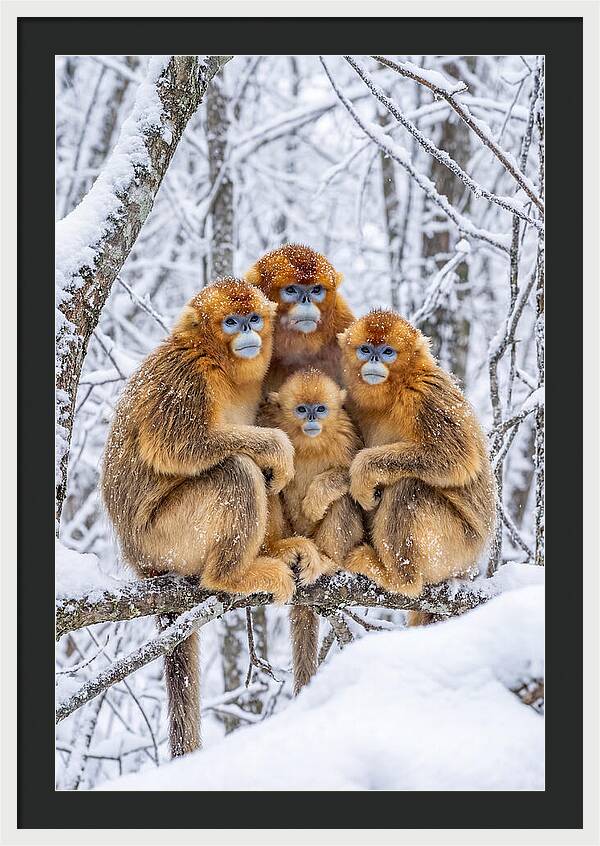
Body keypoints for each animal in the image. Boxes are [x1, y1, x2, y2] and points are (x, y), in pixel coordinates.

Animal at [101, 278, 319, 758]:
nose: (249, 332)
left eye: (253, 318)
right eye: (232, 322)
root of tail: (139, 560)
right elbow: (179, 445)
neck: (219, 362)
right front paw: (276, 445)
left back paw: (277, 550)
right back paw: (232, 575)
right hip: (165, 538)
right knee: (236, 469)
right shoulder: (186, 376)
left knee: (259, 476)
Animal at [262, 369, 364, 693]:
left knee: (344, 499)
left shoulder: (347, 435)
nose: (311, 419)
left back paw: (327, 561)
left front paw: (317, 498)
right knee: (268, 484)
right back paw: (279, 550)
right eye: (300, 409)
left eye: (320, 408)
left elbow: (355, 477)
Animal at [337, 310, 496, 626]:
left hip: (456, 548)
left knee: (409, 488)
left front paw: (363, 471)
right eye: (365, 349)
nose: (375, 359)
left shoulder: (425, 394)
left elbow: (457, 458)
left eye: (387, 352)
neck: (395, 390)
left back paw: (399, 579)